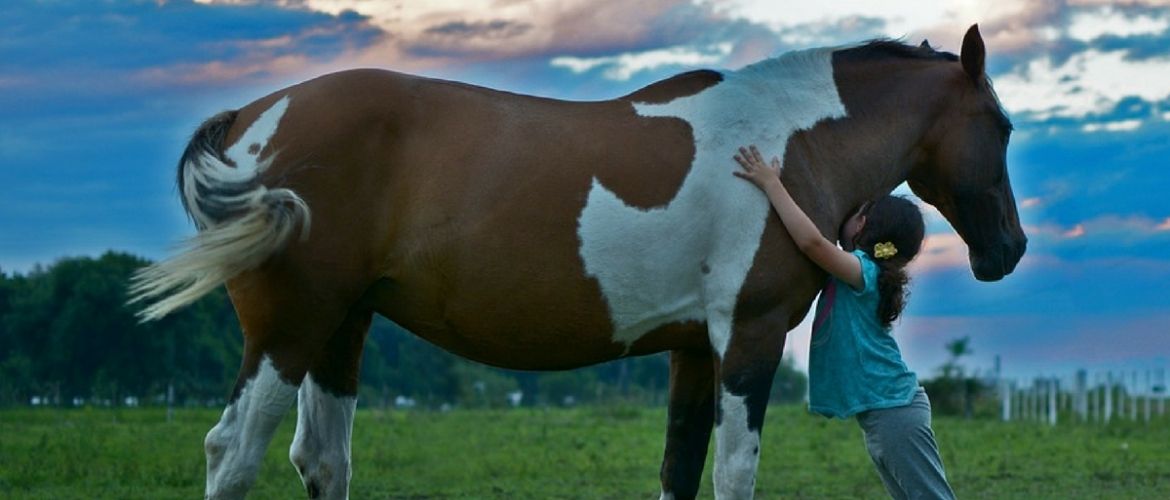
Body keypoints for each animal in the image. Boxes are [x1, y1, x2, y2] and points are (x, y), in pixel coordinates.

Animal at [130, 24, 1024, 500]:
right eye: (1003, 127)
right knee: (233, 453)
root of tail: (256, 113)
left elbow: (679, 471)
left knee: (321, 459)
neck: (784, 146)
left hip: (341, 328)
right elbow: (734, 476)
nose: (1008, 250)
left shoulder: (693, 350)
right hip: (290, 328)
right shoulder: (749, 339)